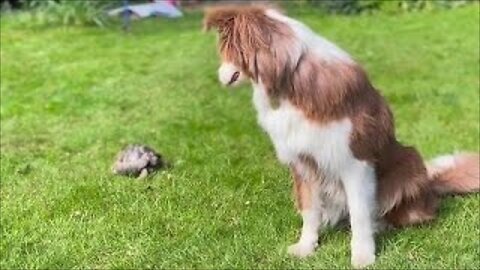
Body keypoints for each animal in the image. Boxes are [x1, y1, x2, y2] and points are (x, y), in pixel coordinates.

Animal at [203, 4, 480, 268]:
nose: (217, 77)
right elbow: (309, 209)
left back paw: (384, 225)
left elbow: (360, 213)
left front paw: (363, 256)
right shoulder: (303, 161)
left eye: (225, 51)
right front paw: (306, 247)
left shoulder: (354, 162)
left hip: (410, 161)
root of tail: (431, 186)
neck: (290, 82)